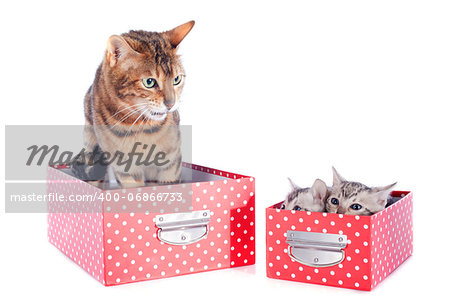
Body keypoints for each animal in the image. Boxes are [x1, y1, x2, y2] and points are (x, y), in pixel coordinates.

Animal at [73, 21, 194, 188]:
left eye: (176, 79)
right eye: (149, 82)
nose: (171, 104)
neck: (143, 128)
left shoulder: (171, 162)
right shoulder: (125, 168)